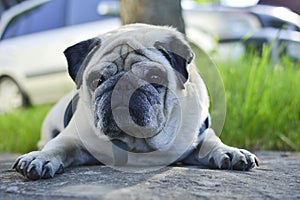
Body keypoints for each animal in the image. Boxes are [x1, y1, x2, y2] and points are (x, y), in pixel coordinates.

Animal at [12, 23, 258, 180]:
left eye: (155, 78)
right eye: (97, 80)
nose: (122, 85)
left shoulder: (199, 134)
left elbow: (213, 142)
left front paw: (232, 152)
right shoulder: (72, 138)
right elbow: (58, 146)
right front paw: (40, 158)